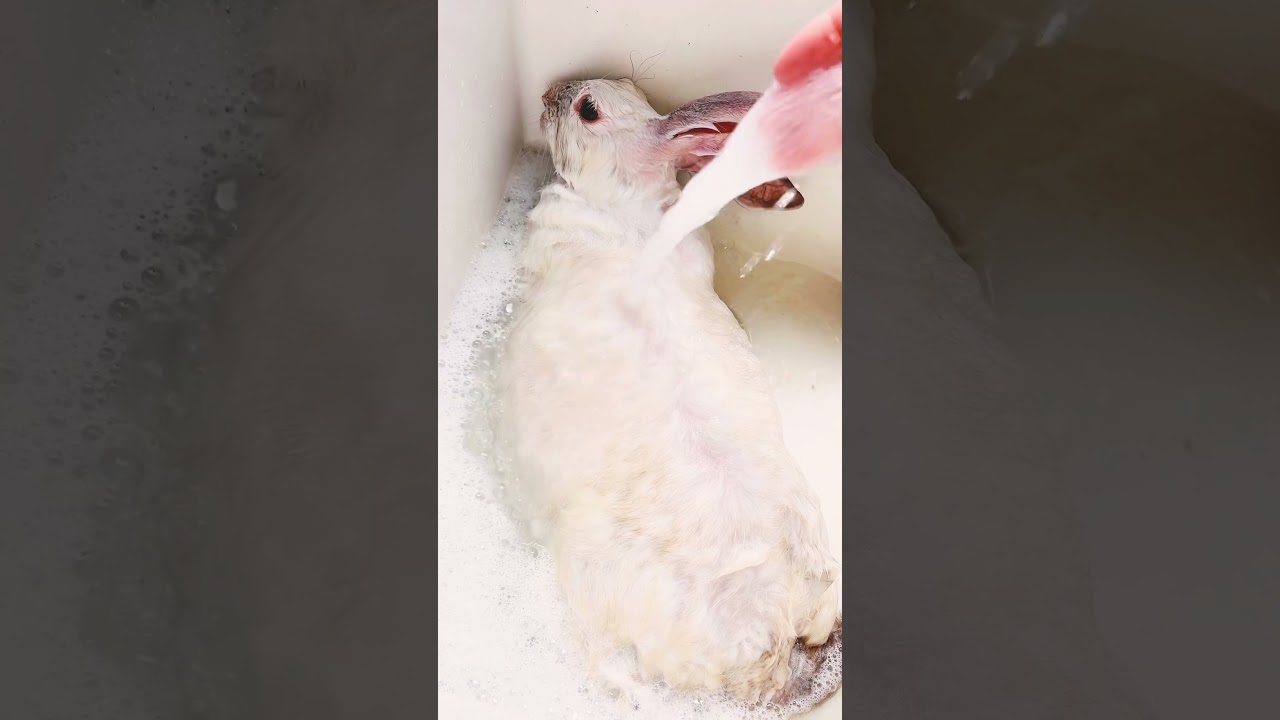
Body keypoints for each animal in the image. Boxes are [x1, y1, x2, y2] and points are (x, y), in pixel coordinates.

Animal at [493, 78, 841, 709]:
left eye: (587, 108)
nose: (549, 91)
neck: (627, 218)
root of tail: (776, 636)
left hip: (588, 589)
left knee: (604, 664)